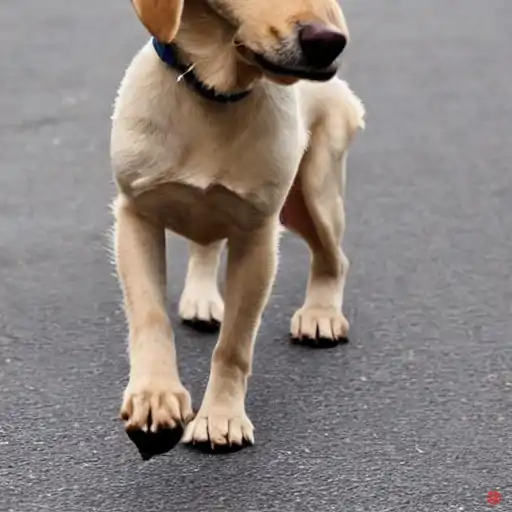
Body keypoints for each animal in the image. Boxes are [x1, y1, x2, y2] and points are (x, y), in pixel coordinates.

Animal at [110, 0, 366, 458]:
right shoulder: (136, 216)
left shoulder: (257, 237)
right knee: (207, 244)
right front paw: (155, 397)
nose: (329, 42)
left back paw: (321, 314)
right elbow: (150, 317)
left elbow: (233, 346)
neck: (214, 92)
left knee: (334, 257)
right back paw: (202, 298)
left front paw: (219, 417)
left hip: (313, 195)